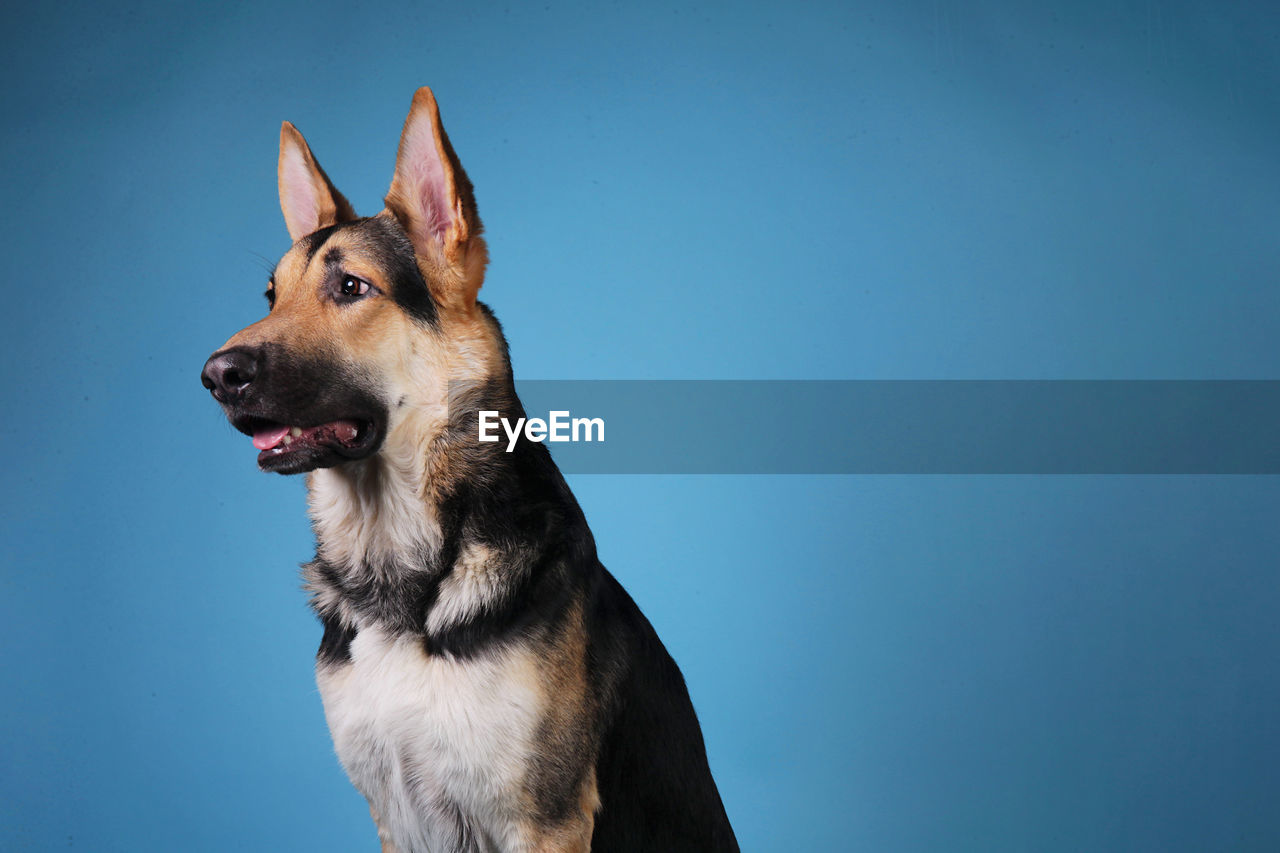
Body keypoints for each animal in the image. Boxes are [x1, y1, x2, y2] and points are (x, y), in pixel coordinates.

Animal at [200, 87, 742, 850]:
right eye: (272, 296)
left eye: (351, 286)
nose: (216, 376)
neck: (402, 569)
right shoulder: (394, 818)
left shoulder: (543, 821)